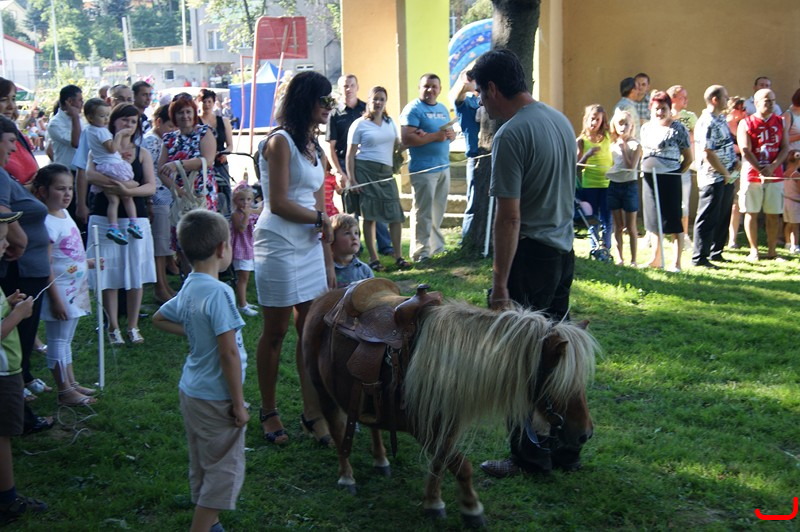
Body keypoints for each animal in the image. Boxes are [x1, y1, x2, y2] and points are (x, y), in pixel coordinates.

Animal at [302, 279, 599, 527]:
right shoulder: (424, 428)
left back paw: (381, 460)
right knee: (338, 432)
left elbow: (441, 464)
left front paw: (434, 503)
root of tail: (324, 298)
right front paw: (471, 508)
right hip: (323, 392)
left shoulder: (448, 424)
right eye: (558, 383)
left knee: (372, 424)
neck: (447, 365)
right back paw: (346, 476)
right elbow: (461, 465)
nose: (585, 434)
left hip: (367, 394)